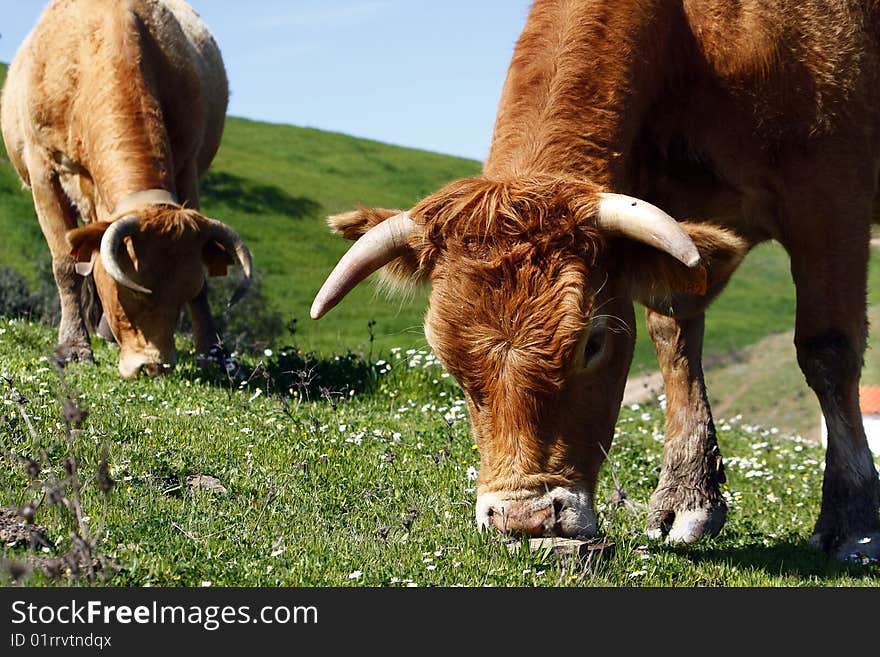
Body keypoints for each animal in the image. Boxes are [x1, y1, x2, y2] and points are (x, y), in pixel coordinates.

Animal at [0, 0, 251, 376]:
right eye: (127, 290)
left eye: (186, 288)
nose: (153, 365)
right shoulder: (42, 168)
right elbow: (66, 263)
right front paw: (73, 348)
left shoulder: (187, 165)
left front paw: (214, 353)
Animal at [312, 0, 880, 560]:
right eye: (447, 358)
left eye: (592, 342)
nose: (525, 519)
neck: (695, 41)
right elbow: (674, 338)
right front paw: (688, 498)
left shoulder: (830, 197)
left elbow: (828, 351)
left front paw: (853, 523)